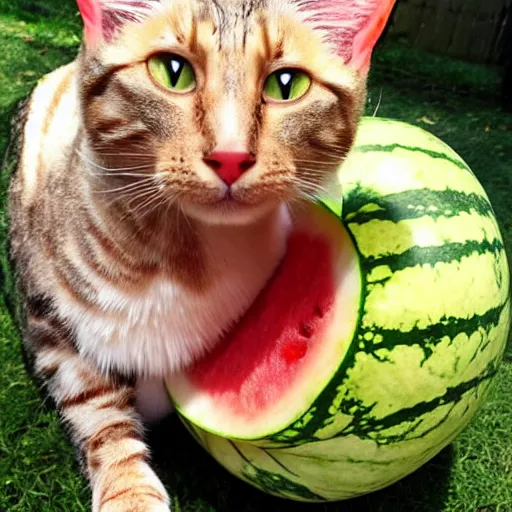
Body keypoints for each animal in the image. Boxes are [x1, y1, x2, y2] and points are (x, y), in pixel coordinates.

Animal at [7, 0, 392, 510]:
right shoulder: (47, 322)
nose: (230, 157)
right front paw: (129, 489)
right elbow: (96, 409)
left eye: (286, 84)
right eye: (173, 72)